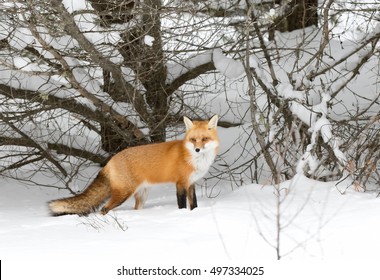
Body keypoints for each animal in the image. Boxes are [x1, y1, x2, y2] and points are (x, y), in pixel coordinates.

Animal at [48, 115, 218, 215]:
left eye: (204, 139)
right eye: (193, 140)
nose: (197, 149)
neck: (193, 158)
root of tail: (110, 160)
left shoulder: (191, 183)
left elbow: (194, 204)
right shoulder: (180, 183)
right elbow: (182, 205)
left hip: (141, 195)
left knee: (135, 209)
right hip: (124, 193)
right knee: (104, 209)